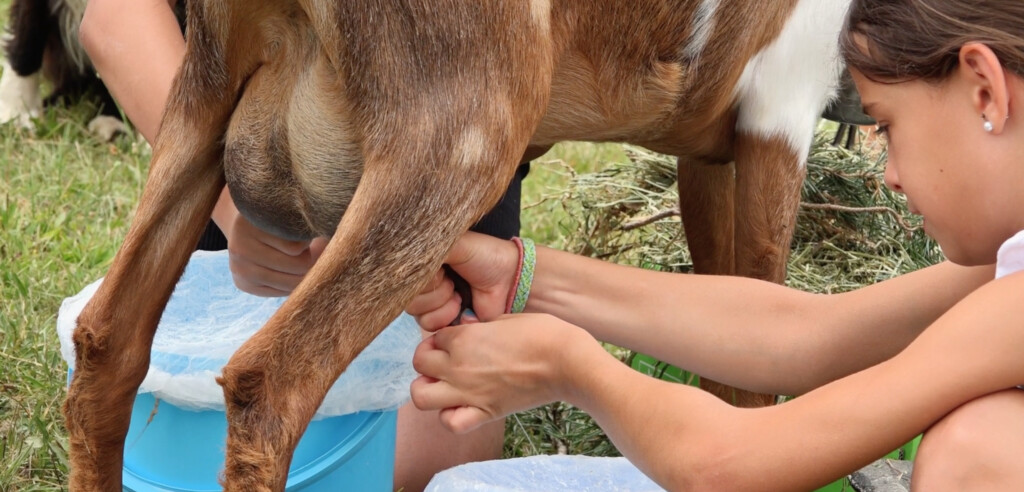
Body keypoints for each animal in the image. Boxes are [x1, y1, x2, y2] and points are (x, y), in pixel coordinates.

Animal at [59, 1, 851, 489]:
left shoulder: (709, 149)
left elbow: (723, 325)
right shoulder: (783, 108)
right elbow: (759, 343)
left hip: (201, 97)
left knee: (107, 340)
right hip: (455, 137)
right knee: (269, 382)